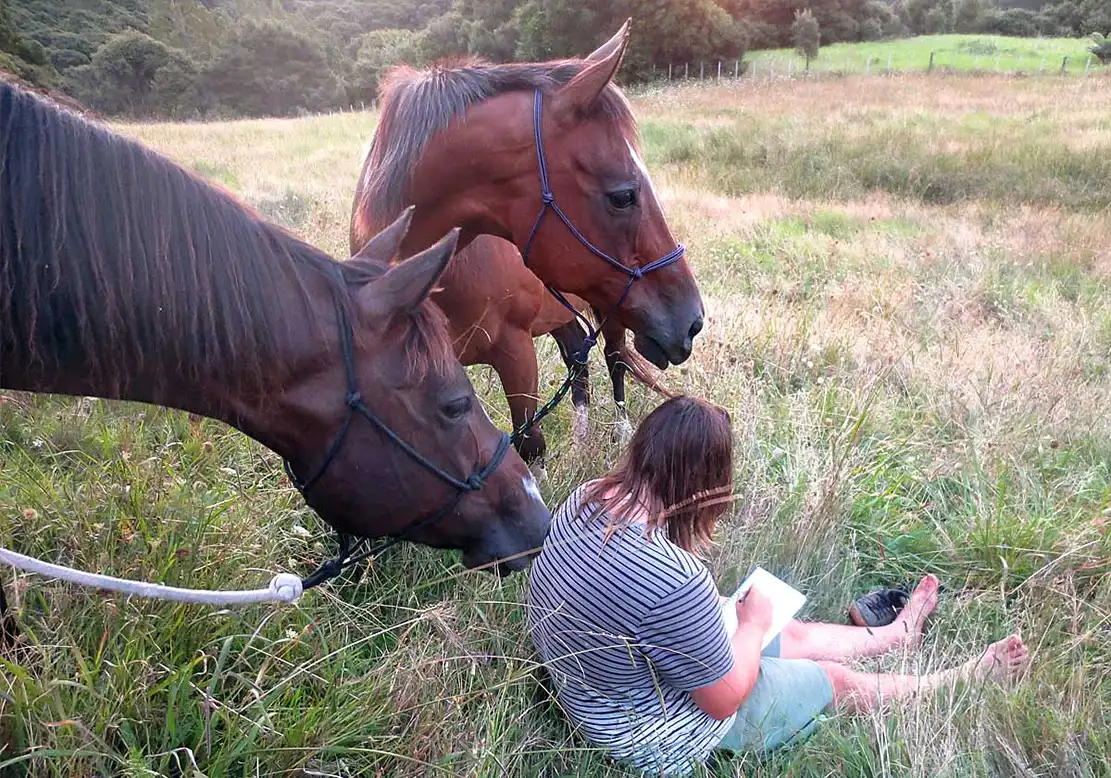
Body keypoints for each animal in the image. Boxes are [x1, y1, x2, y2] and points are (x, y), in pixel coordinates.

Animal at [351, 21, 702, 464]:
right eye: (623, 195)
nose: (693, 322)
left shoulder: (516, 352)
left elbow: (529, 444)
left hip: (611, 309)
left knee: (615, 358)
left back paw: (622, 432)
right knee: (578, 356)